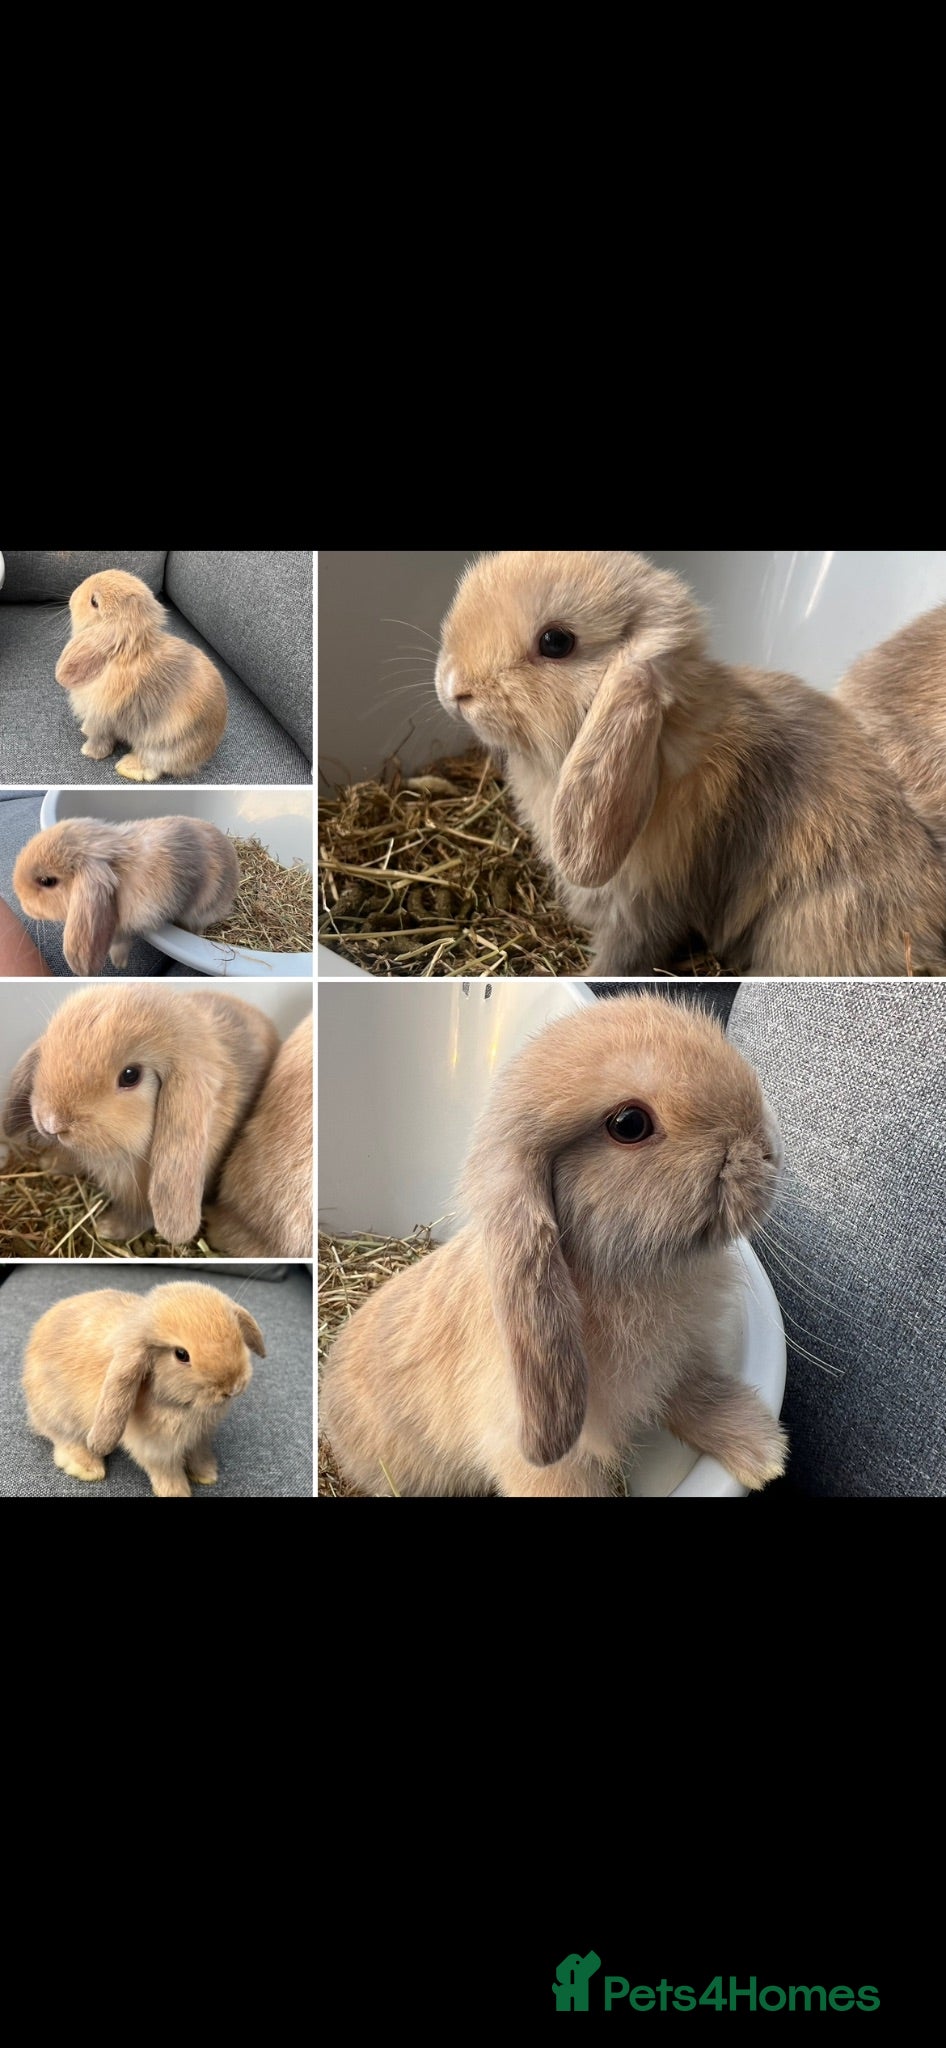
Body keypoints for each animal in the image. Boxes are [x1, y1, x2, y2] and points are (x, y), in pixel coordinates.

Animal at [23, 1281, 265, 1498]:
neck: (182, 1406)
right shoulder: (157, 1449)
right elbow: (166, 1471)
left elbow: (199, 1454)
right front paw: (176, 1492)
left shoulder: (200, 1438)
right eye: (181, 1354)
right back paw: (87, 1467)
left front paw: (206, 1474)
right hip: (59, 1413)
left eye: (238, 1336)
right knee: (63, 1438)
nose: (232, 1387)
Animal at [54, 569, 227, 781]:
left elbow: (100, 738)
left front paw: (89, 752)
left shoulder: (102, 719)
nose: (72, 597)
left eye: (94, 602)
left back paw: (128, 767)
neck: (125, 653)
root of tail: (206, 751)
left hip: (161, 743)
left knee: (154, 766)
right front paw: (84, 729)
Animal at [321, 995, 789, 1499]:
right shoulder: (546, 1463)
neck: (618, 1272)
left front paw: (763, 1452)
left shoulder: (678, 1366)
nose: (767, 1150)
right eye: (629, 1124)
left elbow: (697, 1396)